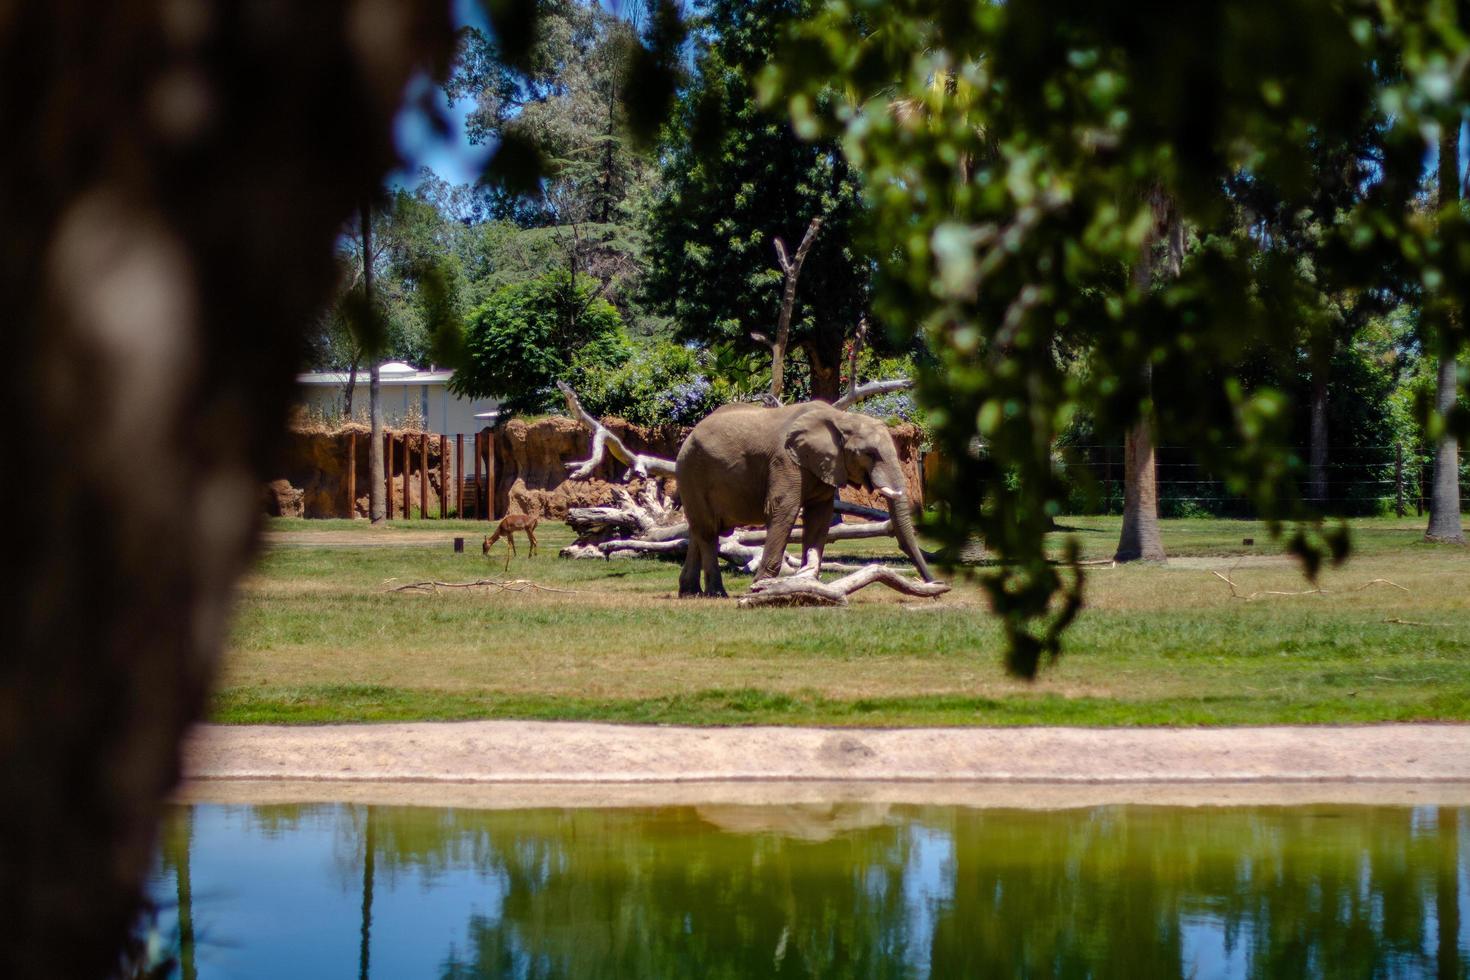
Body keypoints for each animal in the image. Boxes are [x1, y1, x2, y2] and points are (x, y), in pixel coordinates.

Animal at [673, 399, 934, 599]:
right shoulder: (785, 461)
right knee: (708, 531)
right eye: (869, 454)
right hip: (691, 471)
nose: (933, 583)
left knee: (699, 529)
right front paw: (759, 589)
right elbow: (783, 510)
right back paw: (716, 594)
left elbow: (820, 517)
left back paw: (691, 593)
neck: (840, 419)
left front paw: (807, 582)